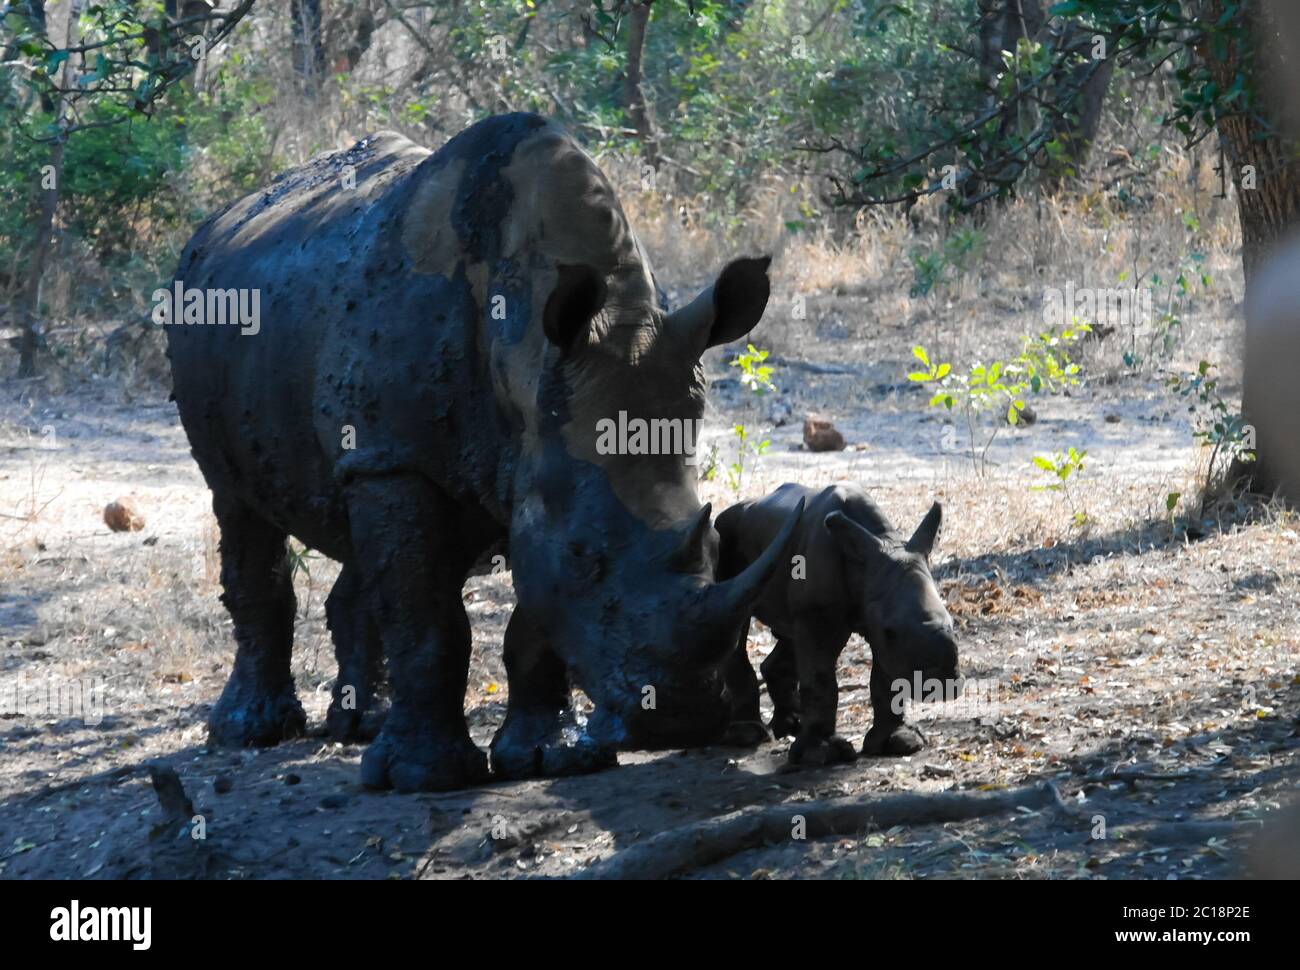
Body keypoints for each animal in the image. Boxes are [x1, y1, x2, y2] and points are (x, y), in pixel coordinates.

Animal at [717, 483, 961, 764]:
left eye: (953, 623)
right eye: (890, 631)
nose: (940, 684)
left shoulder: (875, 613)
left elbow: (885, 676)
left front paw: (899, 742)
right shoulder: (825, 616)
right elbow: (820, 679)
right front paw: (820, 754)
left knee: (788, 634)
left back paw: (791, 726)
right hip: (725, 543)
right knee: (735, 618)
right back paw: (749, 736)